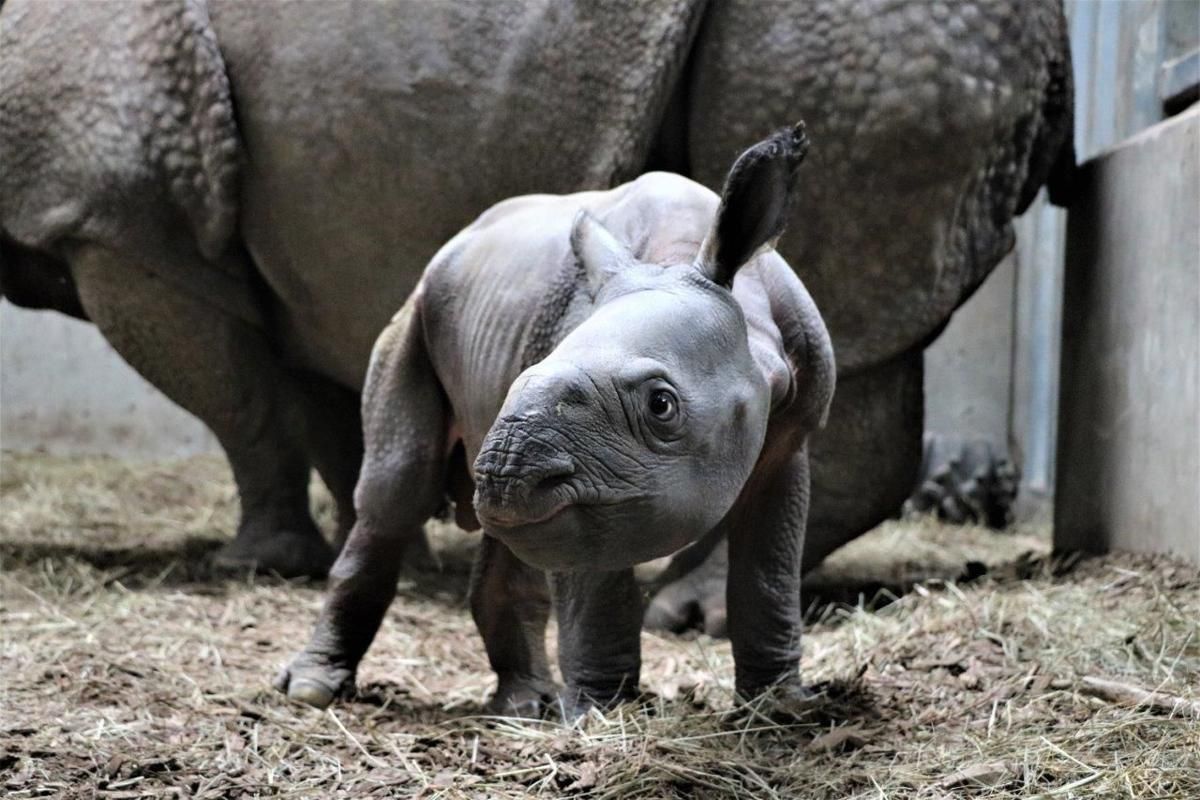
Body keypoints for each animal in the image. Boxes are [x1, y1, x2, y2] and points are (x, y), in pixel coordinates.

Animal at [0, 0, 1074, 631]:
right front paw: (383, 544)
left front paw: (258, 562)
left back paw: (683, 612)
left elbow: (235, 398)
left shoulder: (109, 205)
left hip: (857, 34)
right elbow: (317, 403)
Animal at [275, 125, 834, 713]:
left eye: (661, 405)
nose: (504, 473)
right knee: (395, 495)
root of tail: (453, 245)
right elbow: (595, 585)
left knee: (498, 532)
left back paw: (524, 705)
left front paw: (782, 706)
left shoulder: (786, 438)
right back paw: (312, 691)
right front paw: (601, 712)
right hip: (413, 319)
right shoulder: (595, 485)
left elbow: (768, 571)